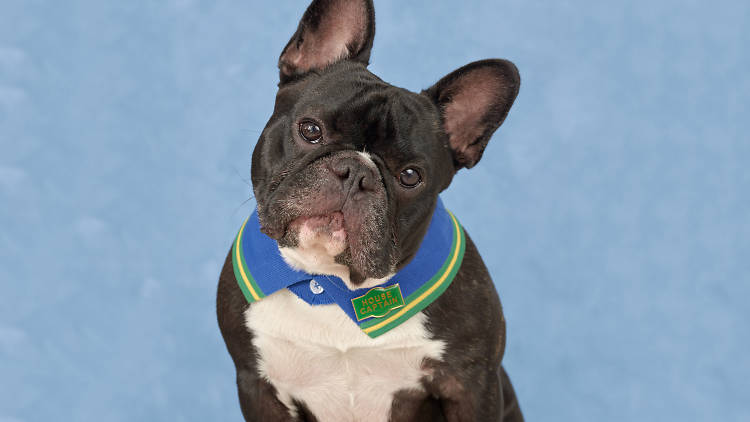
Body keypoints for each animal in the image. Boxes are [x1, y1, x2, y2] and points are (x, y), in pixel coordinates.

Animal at [217, 1, 524, 420]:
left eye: (410, 176)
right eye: (310, 130)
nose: (355, 172)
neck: (333, 279)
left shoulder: (471, 386)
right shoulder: (257, 385)